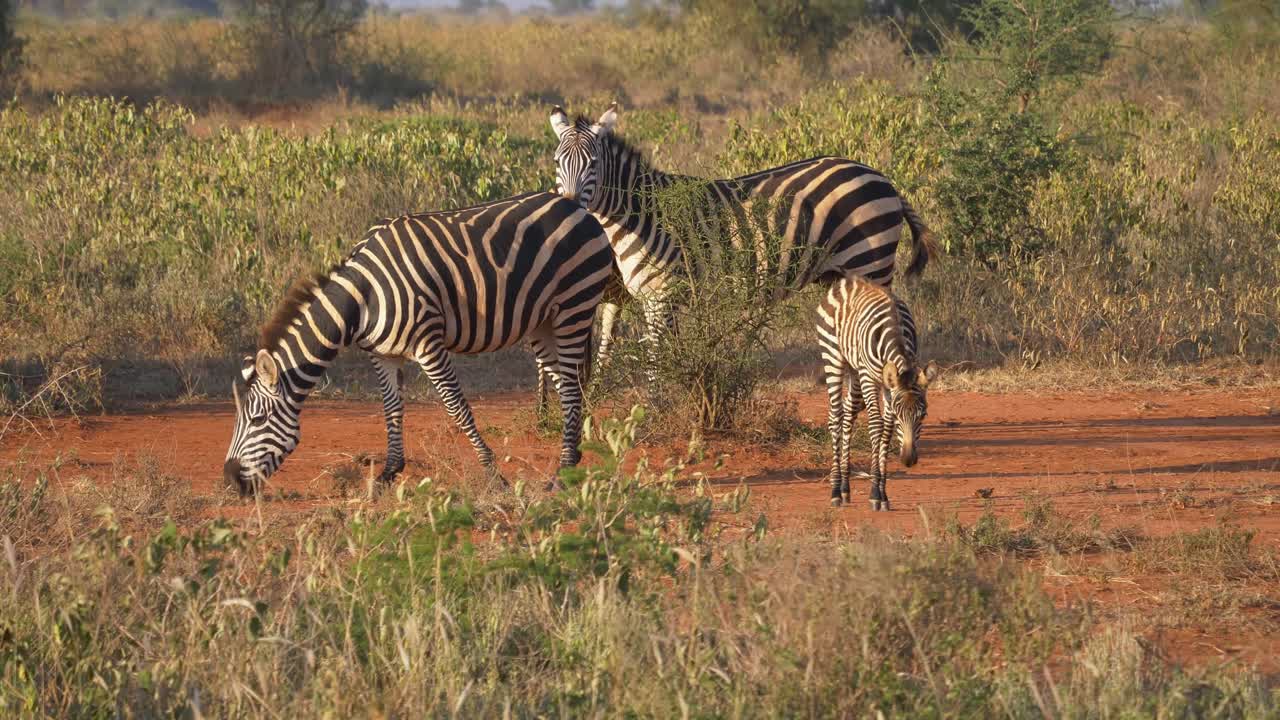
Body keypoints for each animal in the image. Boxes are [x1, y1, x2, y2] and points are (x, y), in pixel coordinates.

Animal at [223, 192, 614, 496]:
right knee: (566, 386)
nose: (230, 481)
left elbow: (458, 408)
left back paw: (563, 473)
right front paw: (387, 475)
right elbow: (392, 410)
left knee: (572, 388)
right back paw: (572, 459)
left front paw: (493, 476)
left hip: (575, 306)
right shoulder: (383, 356)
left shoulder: (428, 345)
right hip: (542, 322)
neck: (361, 299)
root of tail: (575, 207)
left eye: (257, 419)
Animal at [548, 103, 935, 382]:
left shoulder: (660, 295)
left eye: (593, 163)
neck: (641, 213)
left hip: (870, 262)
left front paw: (654, 411)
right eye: (556, 161)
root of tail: (881, 176)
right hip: (843, 274)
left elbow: (656, 362)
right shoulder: (653, 298)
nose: (569, 204)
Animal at [817, 275, 935, 510]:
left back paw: (845, 488)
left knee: (848, 413)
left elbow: (887, 431)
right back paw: (835, 491)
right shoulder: (869, 378)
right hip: (833, 357)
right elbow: (876, 426)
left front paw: (883, 494)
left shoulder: (889, 386)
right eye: (900, 416)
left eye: (923, 415)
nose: (908, 460)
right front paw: (874, 494)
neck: (895, 331)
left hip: (854, 370)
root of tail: (847, 280)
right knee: (835, 416)